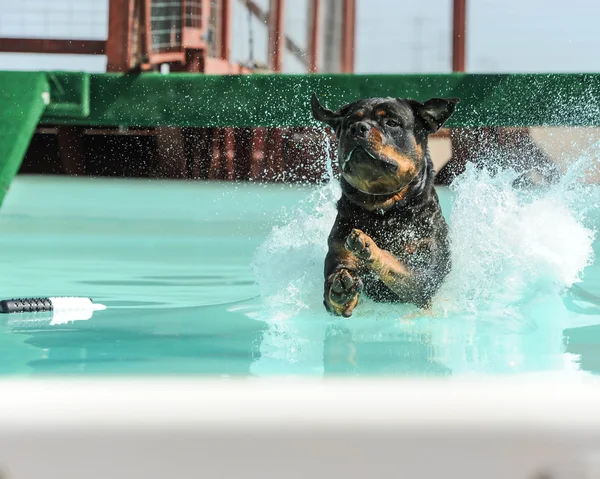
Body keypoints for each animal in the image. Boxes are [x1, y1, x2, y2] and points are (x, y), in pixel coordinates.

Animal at [312, 93, 458, 318]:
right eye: (349, 123)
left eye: (391, 123)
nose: (358, 128)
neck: (383, 210)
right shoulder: (339, 248)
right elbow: (332, 293)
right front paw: (341, 289)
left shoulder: (424, 277)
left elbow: (394, 262)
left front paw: (369, 246)